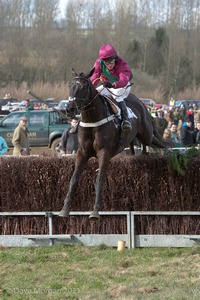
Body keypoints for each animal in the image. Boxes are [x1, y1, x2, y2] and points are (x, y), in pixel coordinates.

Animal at [59, 68, 164, 220]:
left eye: (83, 88)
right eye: (70, 86)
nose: (69, 109)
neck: (92, 120)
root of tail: (141, 103)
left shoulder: (104, 152)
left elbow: (99, 180)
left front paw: (95, 211)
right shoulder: (82, 152)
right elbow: (73, 179)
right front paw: (65, 209)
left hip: (147, 134)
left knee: (148, 142)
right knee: (133, 146)